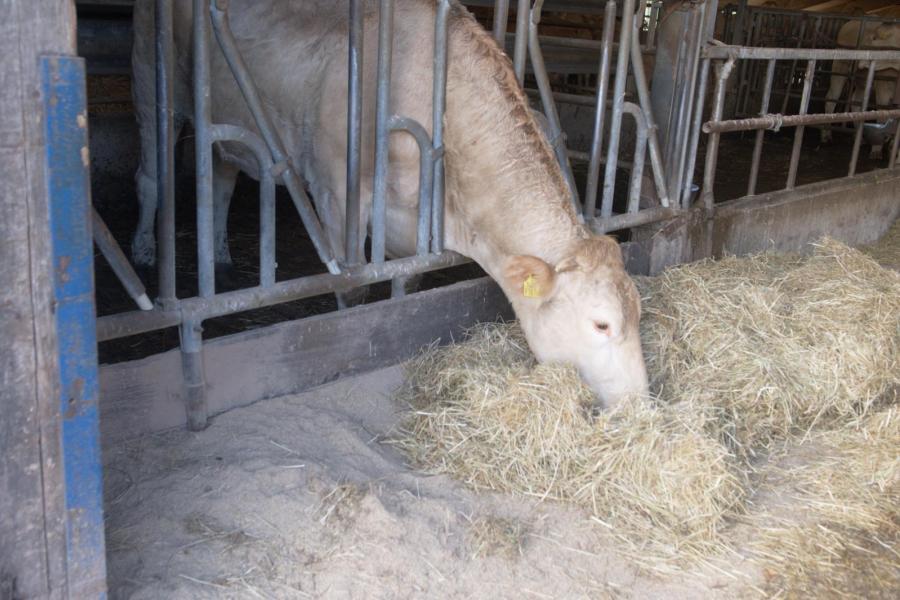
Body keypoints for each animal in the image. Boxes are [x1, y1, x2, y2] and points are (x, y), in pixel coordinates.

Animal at [131, 0, 649, 408]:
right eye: (602, 324)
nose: (640, 405)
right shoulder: (337, 195)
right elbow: (354, 288)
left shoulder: (412, 223)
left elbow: (408, 282)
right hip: (154, 87)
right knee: (153, 177)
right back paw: (145, 252)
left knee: (219, 177)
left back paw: (218, 255)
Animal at [822, 21, 900, 160]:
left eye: (874, 38)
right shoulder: (883, 84)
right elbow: (882, 113)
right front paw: (877, 150)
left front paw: (893, 149)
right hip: (839, 67)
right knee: (831, 99)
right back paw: (826, 136)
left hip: (862, 80)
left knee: (856, 102)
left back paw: (860, 136)